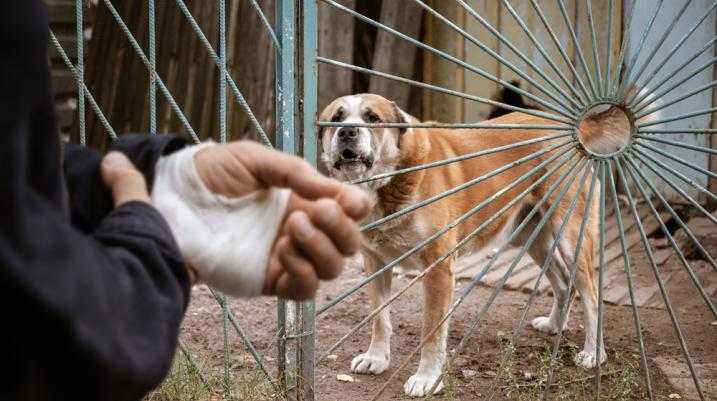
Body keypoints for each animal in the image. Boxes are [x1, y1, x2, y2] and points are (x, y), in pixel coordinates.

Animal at [318, 94, 604, 396]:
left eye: (372, 118)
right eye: (335, 119)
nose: (347, 132)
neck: (390, 180)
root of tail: (570, 129)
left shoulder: (438, 270)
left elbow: (432, 332)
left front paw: (427, 378)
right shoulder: (375, 263)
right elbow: (379, 318)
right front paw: (376, 358)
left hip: (572, 235)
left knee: (591, 295)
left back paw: (593, 353)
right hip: (532, 236)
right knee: (563, 283)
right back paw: (553, 325)